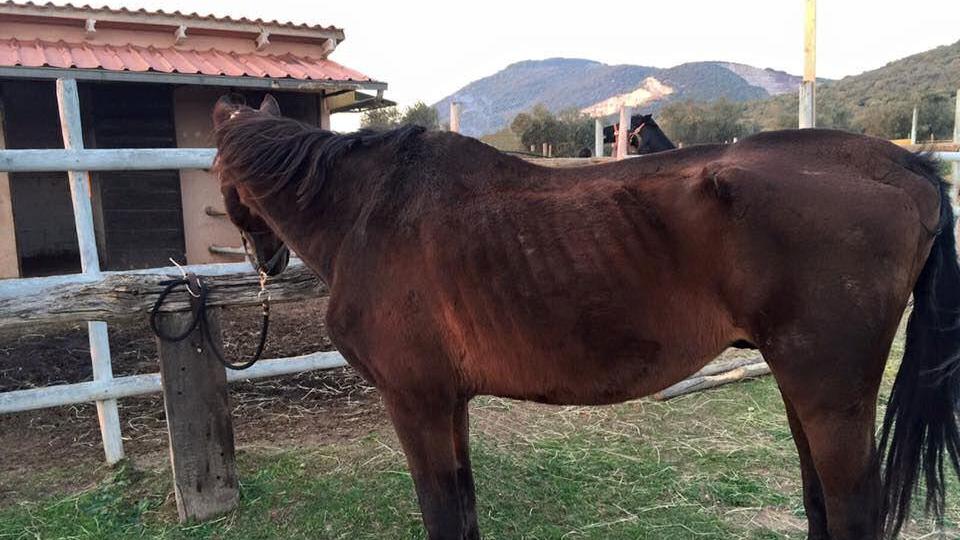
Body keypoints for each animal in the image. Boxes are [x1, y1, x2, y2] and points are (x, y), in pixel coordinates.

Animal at [212, 94, 960, 540]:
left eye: (215, 169)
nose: (265, 256)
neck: (370, 211)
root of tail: (907, 166)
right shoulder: (448, 403)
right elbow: (465, 505)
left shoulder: (415, 401)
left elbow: (443, 511)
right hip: (803, 389)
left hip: (830, 395)